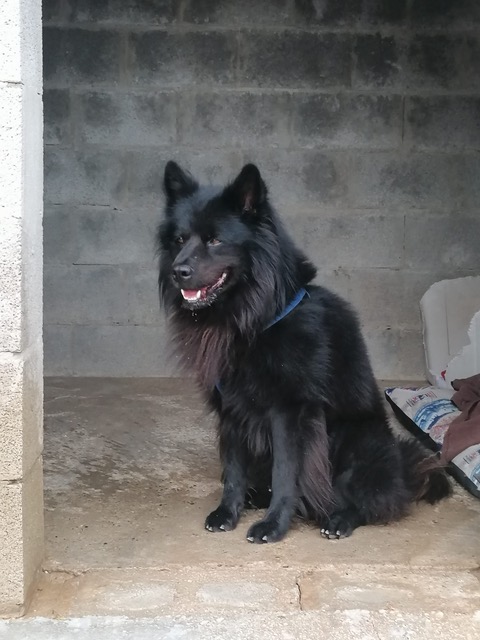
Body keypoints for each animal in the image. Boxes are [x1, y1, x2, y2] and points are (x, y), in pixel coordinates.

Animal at [157, 161, 451, 543]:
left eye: (215, 240)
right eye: (179, 240)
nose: (178, 272)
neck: (253, 321)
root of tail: (403, 469)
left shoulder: (290, 412)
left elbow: (286, 474)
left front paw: (273, 525)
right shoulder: (231, 411)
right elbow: (233, 470)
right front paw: (227, 512)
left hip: (356, 441)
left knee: (373, 501)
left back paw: (339, 519)